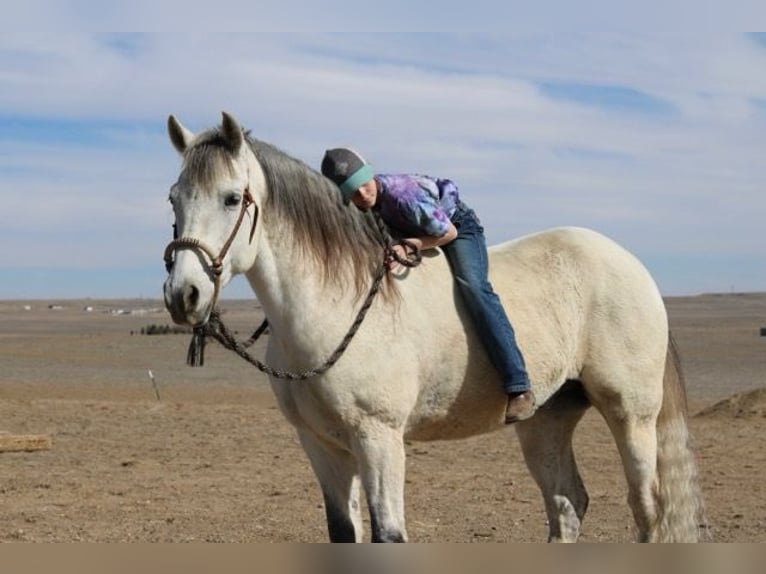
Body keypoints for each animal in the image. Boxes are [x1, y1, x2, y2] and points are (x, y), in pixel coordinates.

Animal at [165, 111, 704, 544]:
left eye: (231, 198)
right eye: (174, 198)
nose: (182, 295)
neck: (332, 305)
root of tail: (631, 264)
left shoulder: (379, 439)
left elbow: (388, 535)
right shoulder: (321, 445)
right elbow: (343, 533)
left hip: (631, 415)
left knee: (647, 508)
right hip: (546, 419)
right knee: (567, 505)